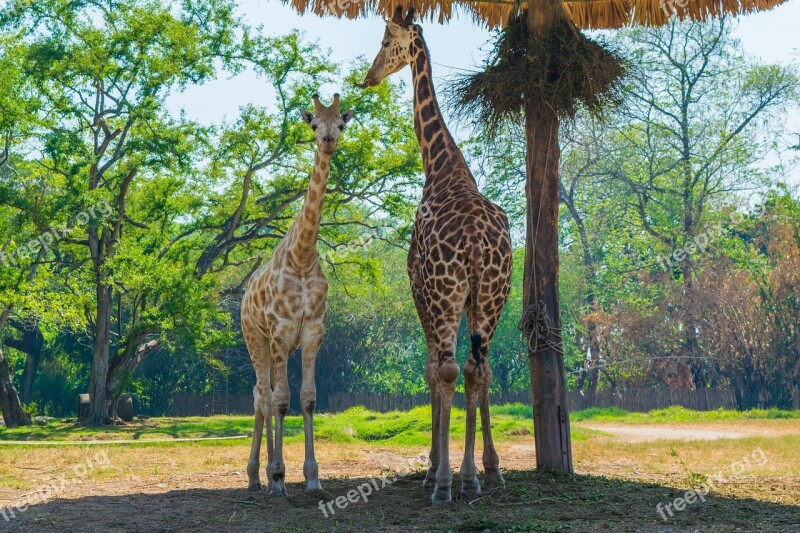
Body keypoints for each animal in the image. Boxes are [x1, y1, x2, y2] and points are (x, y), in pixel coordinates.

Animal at [241, 93, 354, 496]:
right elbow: (281, 401)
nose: (327, 140)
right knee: (262, 395)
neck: (303, 256)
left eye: (341, 124)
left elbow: (307, 399)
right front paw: (278, 477)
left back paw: (257, 475)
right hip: (255, 339)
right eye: (313, 124)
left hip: (280, 346)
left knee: (262, 395)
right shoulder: (279, 329)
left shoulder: (312, 331)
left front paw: (312, 477)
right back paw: (258, 476)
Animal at [362, 5, 512, 502]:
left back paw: (446, 482)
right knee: (476, 369)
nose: (369, 77)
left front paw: (432, 467)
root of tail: (478, 244)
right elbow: (475, 374)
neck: (440, 164)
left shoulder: (419, 287)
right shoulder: (467, 299)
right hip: (492, 297)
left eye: (386, 41)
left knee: (449, 369)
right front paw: (484, 468)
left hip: (448, 294)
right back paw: (477, 474)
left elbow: (430, 370)